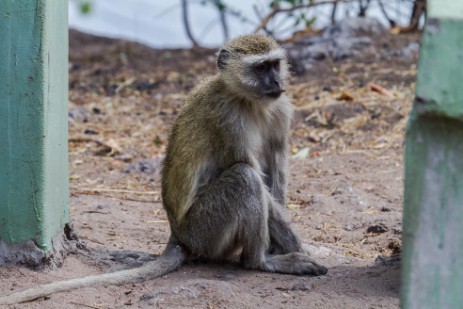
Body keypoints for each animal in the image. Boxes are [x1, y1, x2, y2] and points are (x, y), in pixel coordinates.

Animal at [0, 33, 326, 304]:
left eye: (274, 65)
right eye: (260, 69)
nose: (276, 83)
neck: (250, 101)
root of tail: (178, 234)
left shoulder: (281, 109)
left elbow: (276, 175)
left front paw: (291, 244)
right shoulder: (227, 118)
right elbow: (253, 172)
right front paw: (292, 250)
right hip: (204, 231)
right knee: (244, 177)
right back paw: (260, 261)